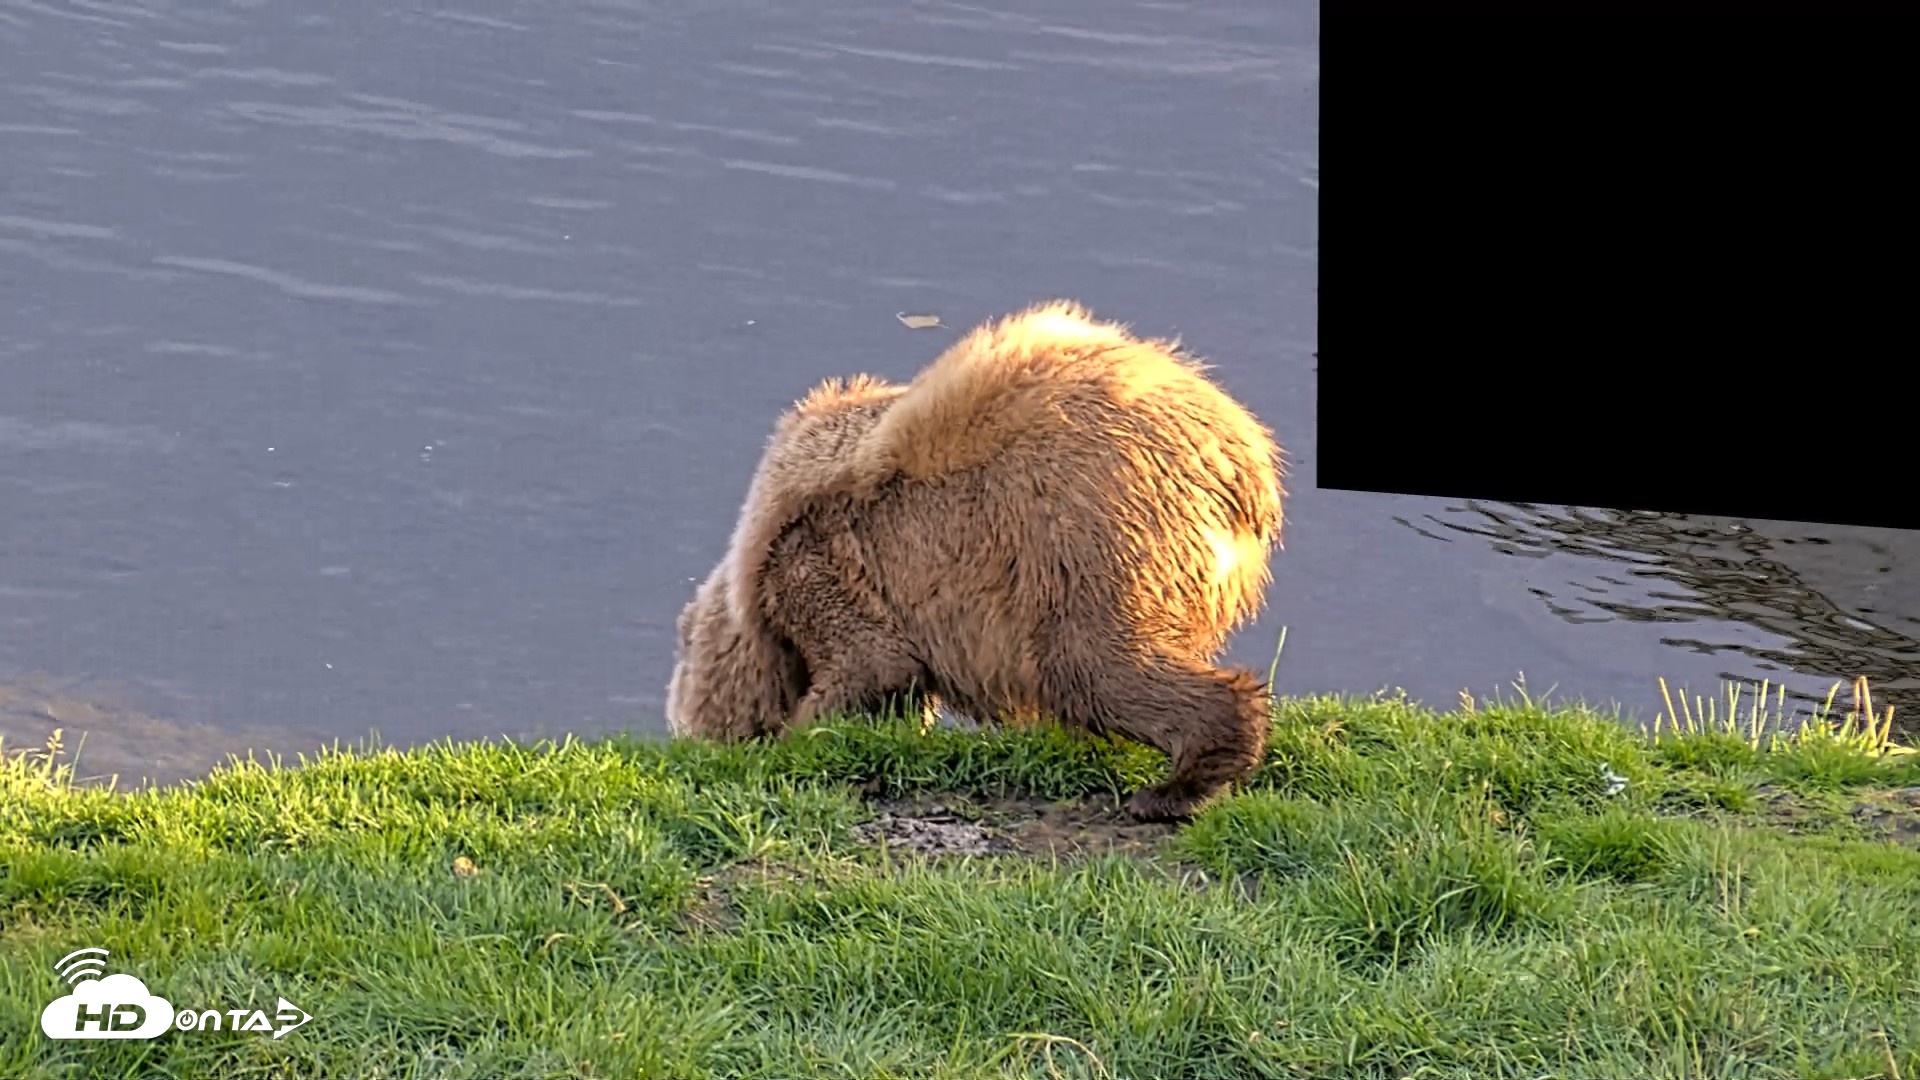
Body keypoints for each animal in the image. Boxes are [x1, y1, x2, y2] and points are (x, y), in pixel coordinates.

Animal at [665, 299, 1286, 822]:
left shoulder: (819, 560)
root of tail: (1245, 463)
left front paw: (800, 736)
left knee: (1092, 666)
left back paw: (1175, 788)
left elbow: (871, 663)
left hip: (1090, 537)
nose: (688, 741)